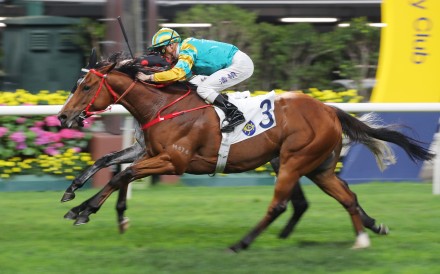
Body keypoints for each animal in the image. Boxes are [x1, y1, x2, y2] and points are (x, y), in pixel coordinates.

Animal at [57, 52, 434, 252]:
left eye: (86, 86)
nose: (63, 116)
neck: (162, 105)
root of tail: (328, 109)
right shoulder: (147, 150)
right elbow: (110, 164)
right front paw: (74, 194)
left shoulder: (173, 161)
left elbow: (122, 175)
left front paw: (84, 210)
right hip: (318, 167)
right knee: (347, 197)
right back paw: (363, 236)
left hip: (294, 160)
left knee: (280, 205)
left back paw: (242, 242)